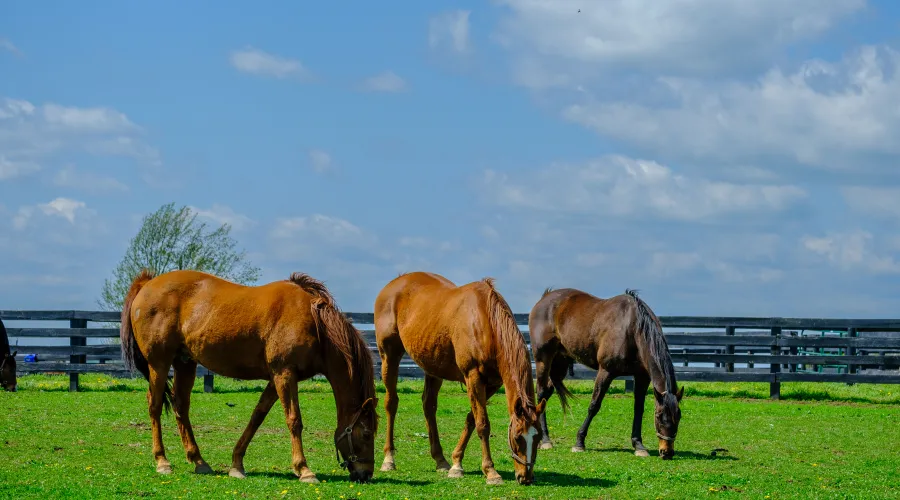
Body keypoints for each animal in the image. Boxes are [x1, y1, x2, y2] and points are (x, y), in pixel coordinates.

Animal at [118, 270, 376, 484]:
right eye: (366, 433)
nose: (366, 474)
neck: (314, 322)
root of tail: (147, 284)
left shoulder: (276, 378)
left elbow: (257, 417)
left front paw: (236, 464)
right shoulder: (285, 374)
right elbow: (294, 420)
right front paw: (304, 470)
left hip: (185, 363)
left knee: (180, 406)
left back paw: (199, 461)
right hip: (159, 365)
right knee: (154, 406)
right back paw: (162, 461)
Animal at [374, 272, 544, 486]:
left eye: (538, 438)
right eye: (517, 437)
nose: (526, 477)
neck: (485, 322)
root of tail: (395, 282)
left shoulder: (492, 383)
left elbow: (471, 419)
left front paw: (456, 463)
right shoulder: (473, 376)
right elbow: (482, 424)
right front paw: (490, 471)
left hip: (433, 366)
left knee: (429, 406)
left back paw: (440, 460)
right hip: (389, 356)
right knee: (391, 403)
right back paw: (389, 459)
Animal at [528, 288, 684, 458]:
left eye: (679, 416)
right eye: (659, 416)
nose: (667, 452)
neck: (632, 328)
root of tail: (545, 297)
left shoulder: (642, 377)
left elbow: (639, 408)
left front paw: (638, 445)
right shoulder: (606, 371)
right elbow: (594, 405)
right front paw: (579, 442)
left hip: (560, 363)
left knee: (547, 392)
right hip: (543, 360)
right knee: (542, 393)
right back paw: (545, 440)